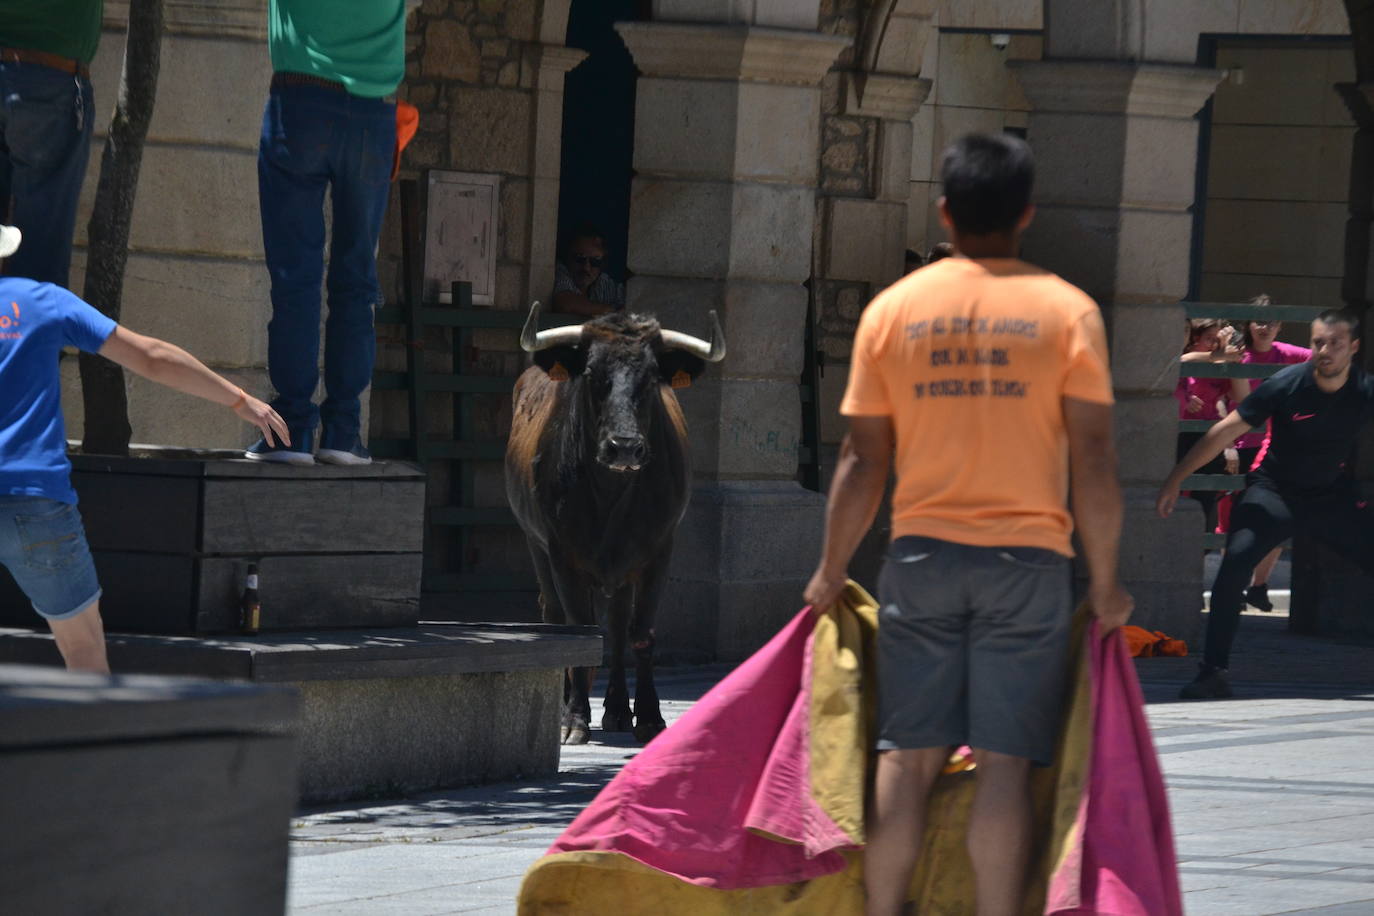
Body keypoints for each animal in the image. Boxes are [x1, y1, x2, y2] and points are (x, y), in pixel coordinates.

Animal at [508, 300, 725, 747]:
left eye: (653, 377)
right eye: (592, 374)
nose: (624, 446)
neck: (611, 495)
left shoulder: (658, 550)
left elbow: (639, 632)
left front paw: (649, 716)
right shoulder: (562, 553)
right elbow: (580, 630)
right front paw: (573, 718)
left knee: (620, 626)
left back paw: (618, 710)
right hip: (536, 546)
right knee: (556, 616)